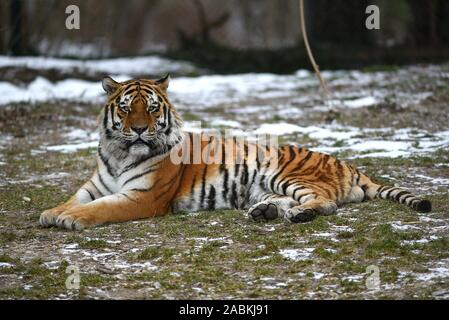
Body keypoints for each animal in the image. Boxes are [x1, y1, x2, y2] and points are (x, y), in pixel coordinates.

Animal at [38, 74, 430, 230]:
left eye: (150, 108)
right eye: (124, 108)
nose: (137, 129)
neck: (121, 152)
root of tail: (349, 164)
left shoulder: (142, 196)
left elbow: (100, 209)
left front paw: (70, 219)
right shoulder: (96, 185)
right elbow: (76, 199)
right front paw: (52, 212)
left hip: (286, 173)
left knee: (326, 202)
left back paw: (298, 215)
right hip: (267, 186)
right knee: (288, 201)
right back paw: (265, 212)